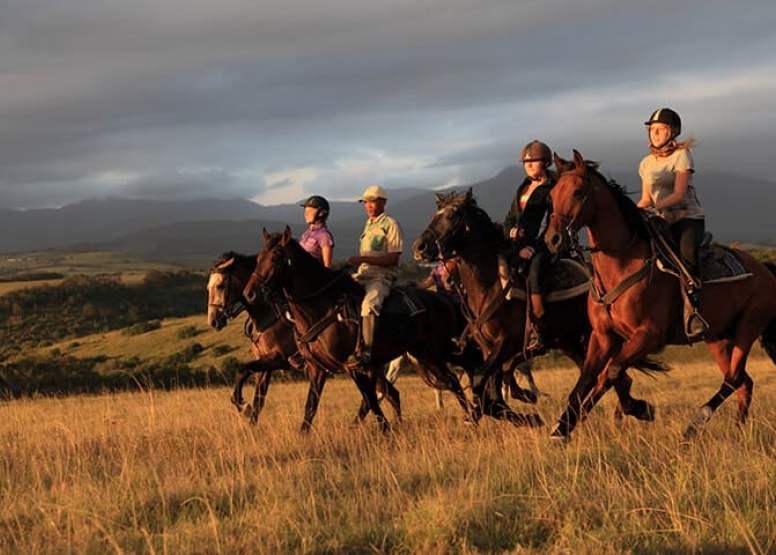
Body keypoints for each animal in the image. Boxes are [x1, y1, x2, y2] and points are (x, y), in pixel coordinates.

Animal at [206, 250, 400, 432]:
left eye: (220, 286)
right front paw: (250, 427)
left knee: (381, 396)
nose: (213, 321)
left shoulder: (277, 359)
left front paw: (242, 405)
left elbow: (246, 373)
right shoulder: (265, 366)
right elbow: (258, 400)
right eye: (208, 287)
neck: (267, 313)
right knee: (390, 394)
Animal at [247, 227, 478, 434]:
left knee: (458, 376)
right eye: (258, 259)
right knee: (447, 381)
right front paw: (302, 436)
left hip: (437, 351)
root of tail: (444, 298)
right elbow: (311, 406)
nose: (250, 293)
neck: (322, 307)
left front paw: (386, 431)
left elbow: (370, 400)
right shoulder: (317, 368)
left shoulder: (352, 365)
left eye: (275, 257)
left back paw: (472, 417)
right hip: (422, 355)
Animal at [412, 189, 668, 428]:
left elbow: (482, 383)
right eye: (434, 216)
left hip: (589, 337)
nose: (420, 247)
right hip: (571, 342)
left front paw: (528, 415)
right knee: (612, 376)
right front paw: (525, 414)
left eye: (452, 215)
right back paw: (633, 409)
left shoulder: (505, 343)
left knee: (614, 375)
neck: (490, 285)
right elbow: (491, 394)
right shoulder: (488, 349)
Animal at [544, 150, 776, 440]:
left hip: (748, 327)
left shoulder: (648, 336)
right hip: (717, 337)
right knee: (743, 382)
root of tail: (765, 270)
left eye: (577, 192)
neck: (623, 263)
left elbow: (611, 373)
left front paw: (639, 409)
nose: (552, 239)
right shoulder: (603, 337)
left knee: (733, 379)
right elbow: (587, 379)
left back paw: (695, 424)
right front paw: (562, 429)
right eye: (552, 194)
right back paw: (738, 432)